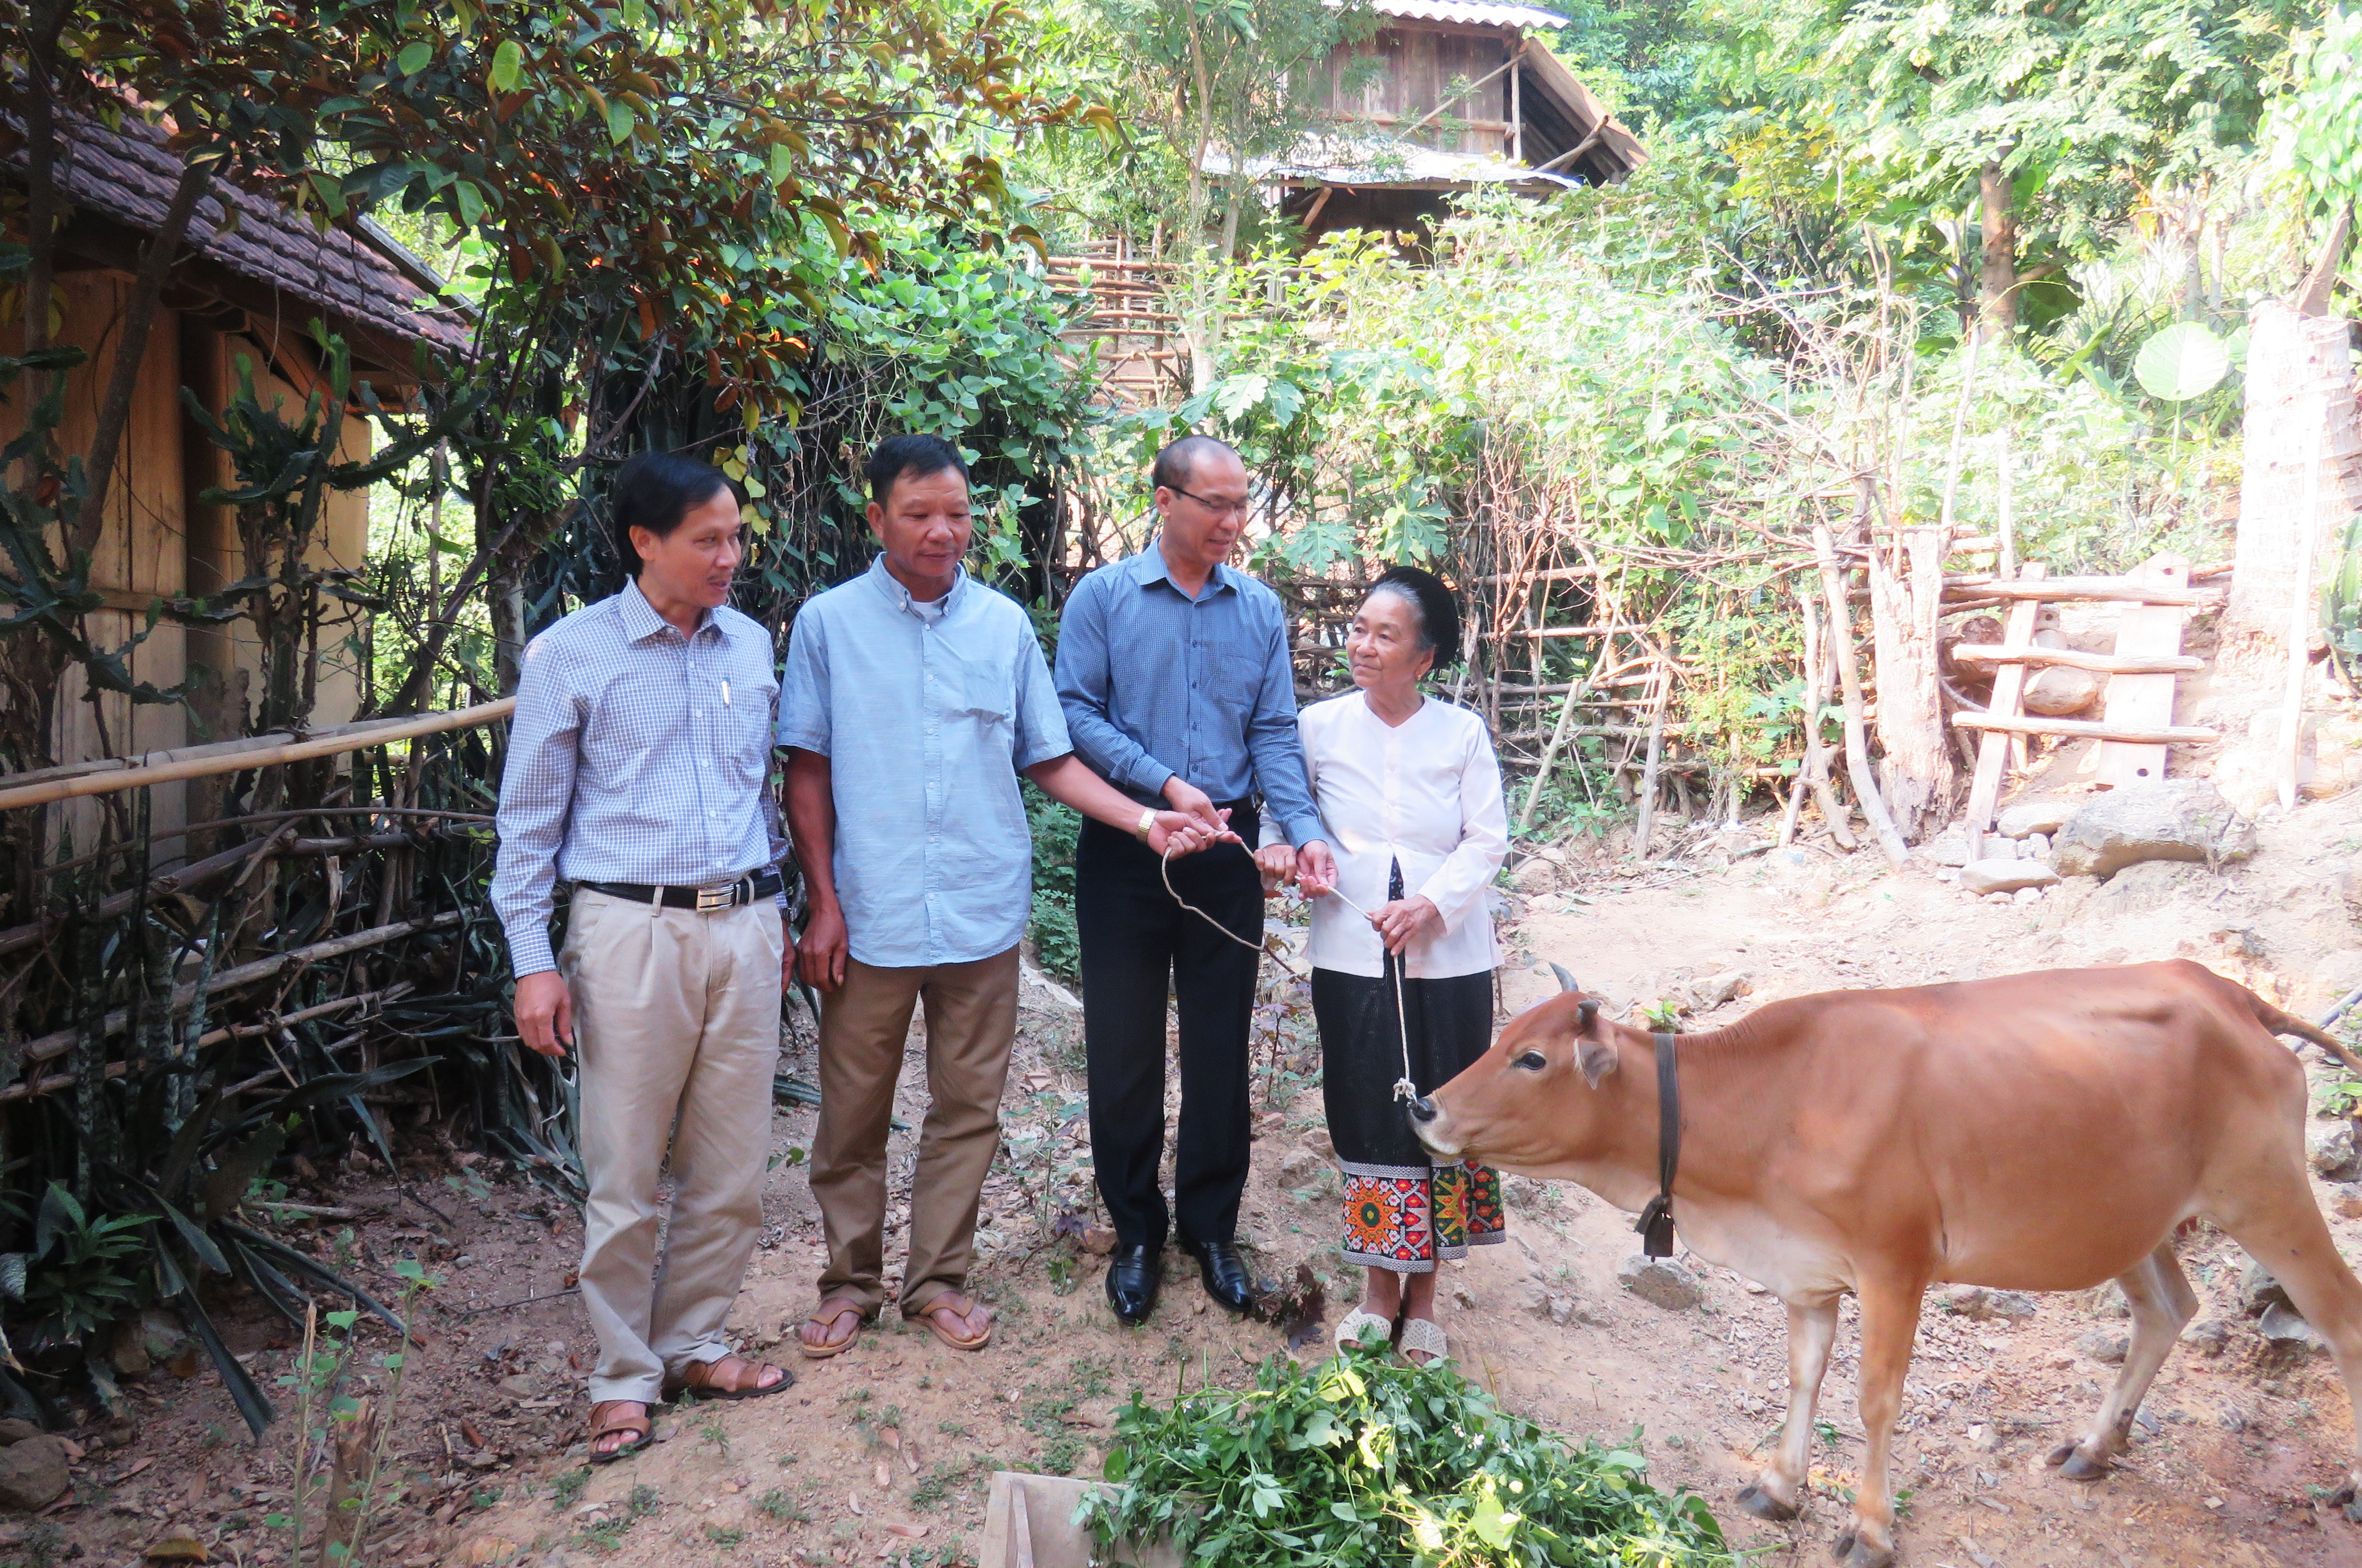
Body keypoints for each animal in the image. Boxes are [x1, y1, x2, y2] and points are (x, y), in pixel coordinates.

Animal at [1408, 963, 2362, 1558]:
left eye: (1531, 1056)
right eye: (1502, 1036)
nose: (1422, 1104)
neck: (1769, 1108)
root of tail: (2228, 991)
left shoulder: (1893, 1262)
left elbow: (1874, 1399)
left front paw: (1869, 1529)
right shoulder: (1805, 1272)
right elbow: (1801, 1375)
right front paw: (1780, 1486)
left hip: (2265, 1191)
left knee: (2340, 1315)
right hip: (2131, 1220)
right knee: (2167, 1308)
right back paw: (2095, 1446)